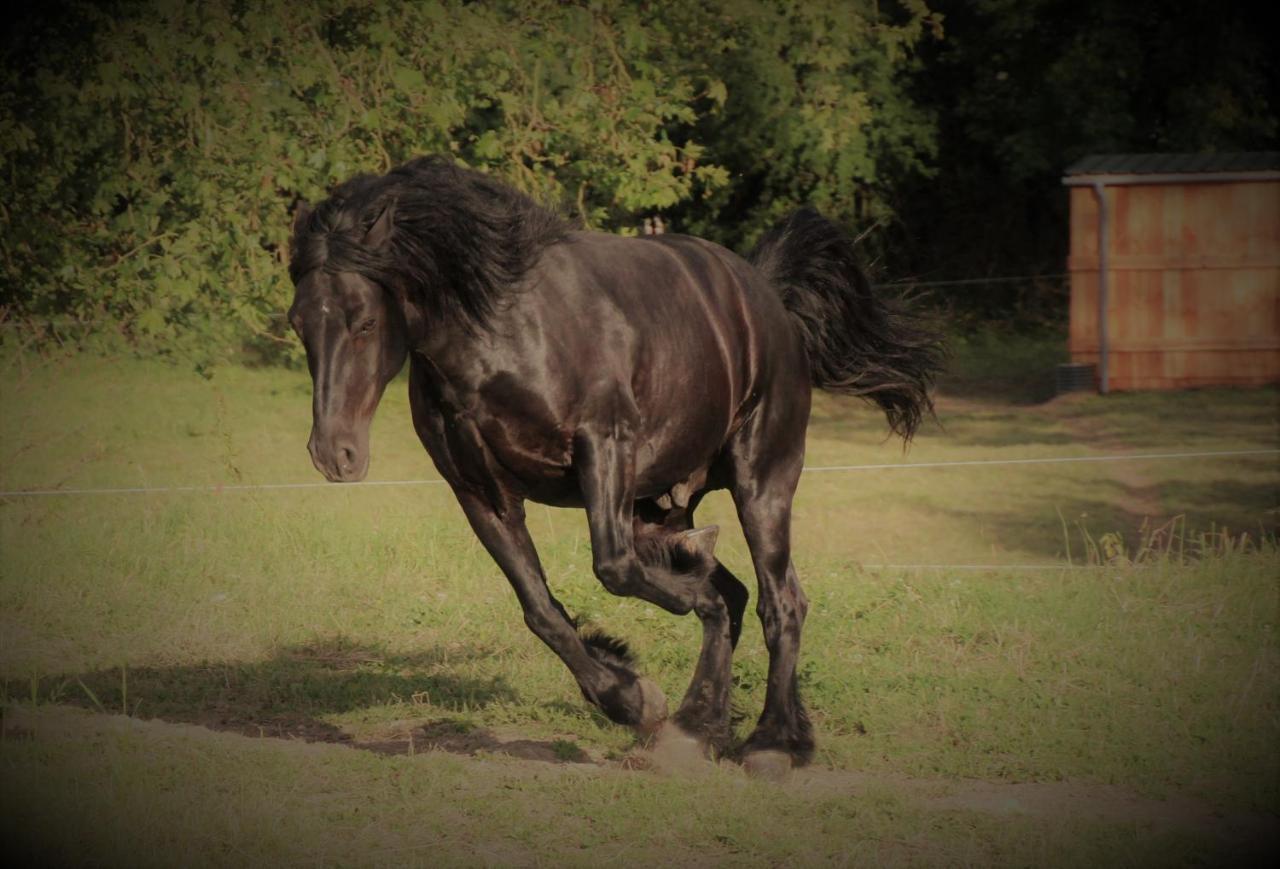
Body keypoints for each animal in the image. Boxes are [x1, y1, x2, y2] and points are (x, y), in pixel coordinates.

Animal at [288, 154, 942, 767]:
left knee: (780, 599)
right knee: (736, 596)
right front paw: (632, 697)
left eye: (365, 321)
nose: (334, 454)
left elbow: (617, 569)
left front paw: (654, 662)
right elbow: (542, 610)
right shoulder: (479, 491)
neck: (503, 331)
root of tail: (765, 297)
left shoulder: (604, 447)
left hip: (762, 479)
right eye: (298, 323)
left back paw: (773, 743)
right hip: (659, 502)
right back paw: (697, 727)